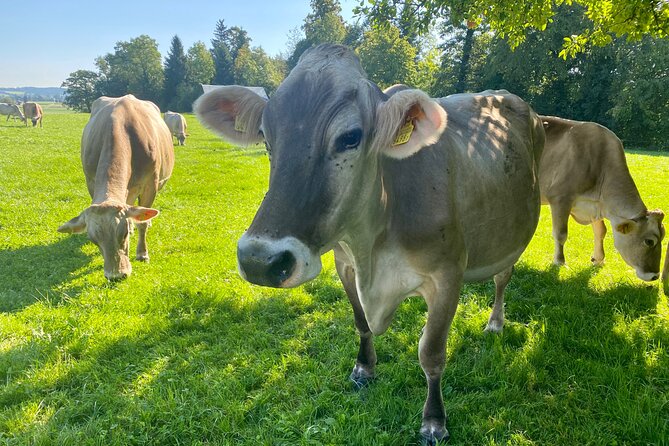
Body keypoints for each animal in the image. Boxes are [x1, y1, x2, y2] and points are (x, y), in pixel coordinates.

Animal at [57, 95, 175, 281]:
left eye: (123, 233)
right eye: (93, 240)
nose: (116, 275)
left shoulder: (151, 185)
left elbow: (143, 222)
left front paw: (142, 253)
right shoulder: (91, 182)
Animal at [195, 44, 544, 443]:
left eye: (350, 137)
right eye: (266, 137)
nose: (258, 261)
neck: (373, 244)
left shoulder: (447, 275)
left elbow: (431, 353)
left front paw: (434, 421)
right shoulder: (344, 263)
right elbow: (360, 321)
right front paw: (364, 368)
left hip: (513, 238)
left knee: (502, 279)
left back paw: (496, 322)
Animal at [539, 116, 664, 281]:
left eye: (663, 237)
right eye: (649, 241)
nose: (655, 276)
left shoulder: (596, 206)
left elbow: (601, 231)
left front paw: (598, 259)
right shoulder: (560, 198)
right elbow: (560, 234)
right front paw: (560, 262)